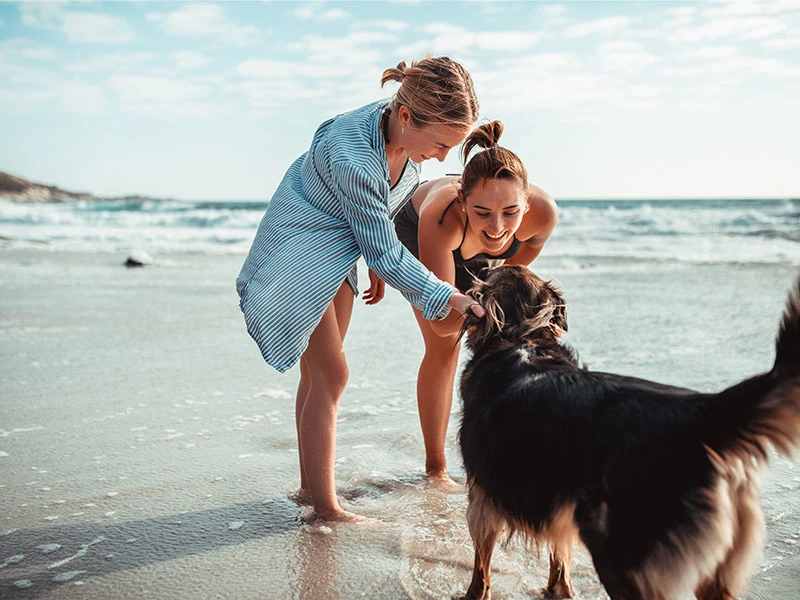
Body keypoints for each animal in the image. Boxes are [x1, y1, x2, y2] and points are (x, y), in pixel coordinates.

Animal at [456, 268, 800, 600]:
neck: (521, 338)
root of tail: (703, 413)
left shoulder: (481, 498)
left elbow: (481, 564)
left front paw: (474, 594)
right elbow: (560, 556)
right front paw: (559, 590)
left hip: (622, 554)